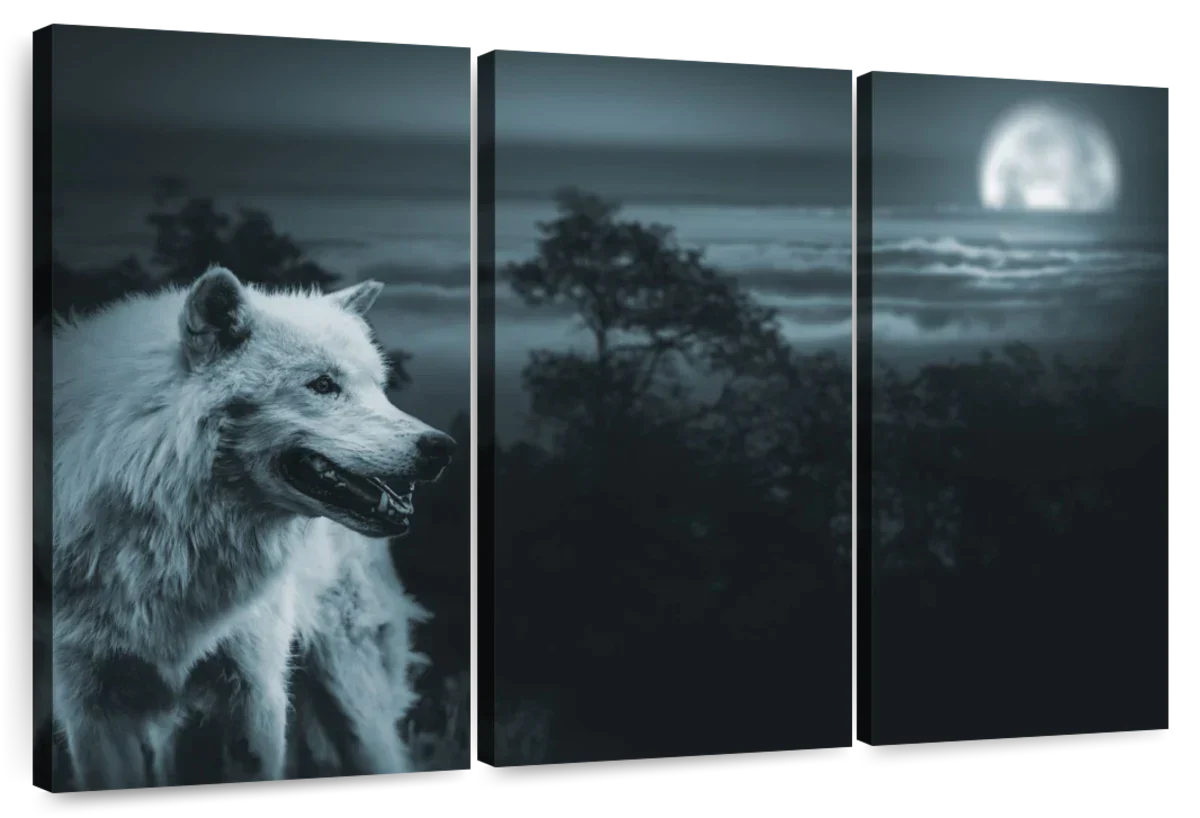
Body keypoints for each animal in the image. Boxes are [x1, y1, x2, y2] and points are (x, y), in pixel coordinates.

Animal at [50, 267, 454, 791]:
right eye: (323, 384)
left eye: (379, 387)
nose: (442, 448)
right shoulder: (90, 706)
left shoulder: (255, 693)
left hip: (352, 701)